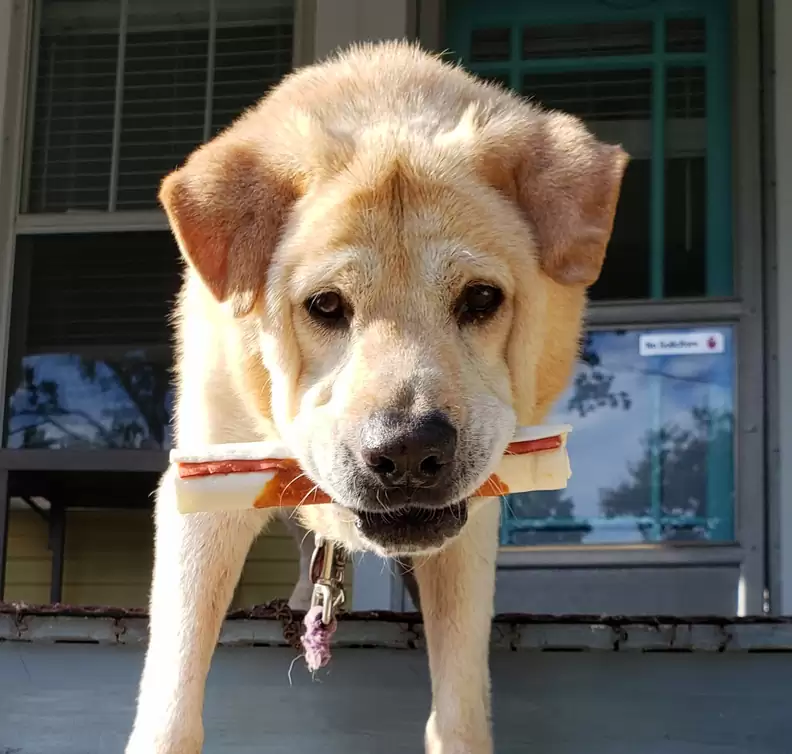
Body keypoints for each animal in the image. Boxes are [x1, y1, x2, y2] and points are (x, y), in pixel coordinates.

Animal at [128, 42, 624, 752]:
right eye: (325, 305)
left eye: (481, 298)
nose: (411, 451)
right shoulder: (203, 484)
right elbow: (173, 697)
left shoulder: (470, 527)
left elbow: (459, 704)